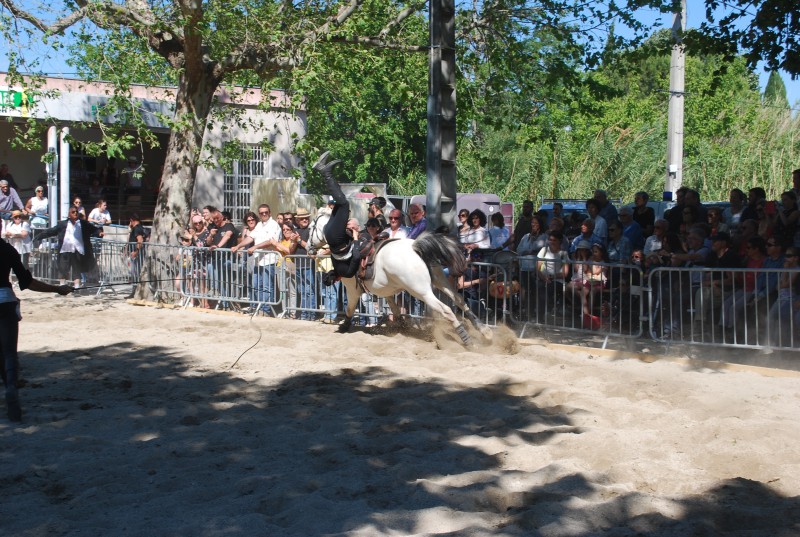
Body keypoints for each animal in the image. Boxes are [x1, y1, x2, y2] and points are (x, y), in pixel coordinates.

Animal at [308, 211, 490, 346]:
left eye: (310, 228)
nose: (309, 247)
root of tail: (415, 247)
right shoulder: (387, 291)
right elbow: (395, 309)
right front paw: (403, 327)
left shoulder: (353, 290)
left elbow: (349, 309)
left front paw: (344, 326)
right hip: (439, 280)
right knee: (459, 299)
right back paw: (484, 332)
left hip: (421, 291)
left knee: (446, 310)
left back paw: (467, 341)